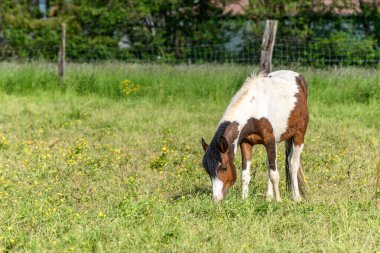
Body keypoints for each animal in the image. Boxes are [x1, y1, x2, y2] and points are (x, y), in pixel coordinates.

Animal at [200, 70, 308, 203]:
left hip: (299, 136)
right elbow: (246, 175)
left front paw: (278, 200)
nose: (216, 199)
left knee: (293, 164)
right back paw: (269, 197)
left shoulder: (269, 140)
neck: (254, 108)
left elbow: (275, 175)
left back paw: (296, 197)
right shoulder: (246, 143)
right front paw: (244, 199)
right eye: (207, 171)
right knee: (270, 164)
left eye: (224, 167)